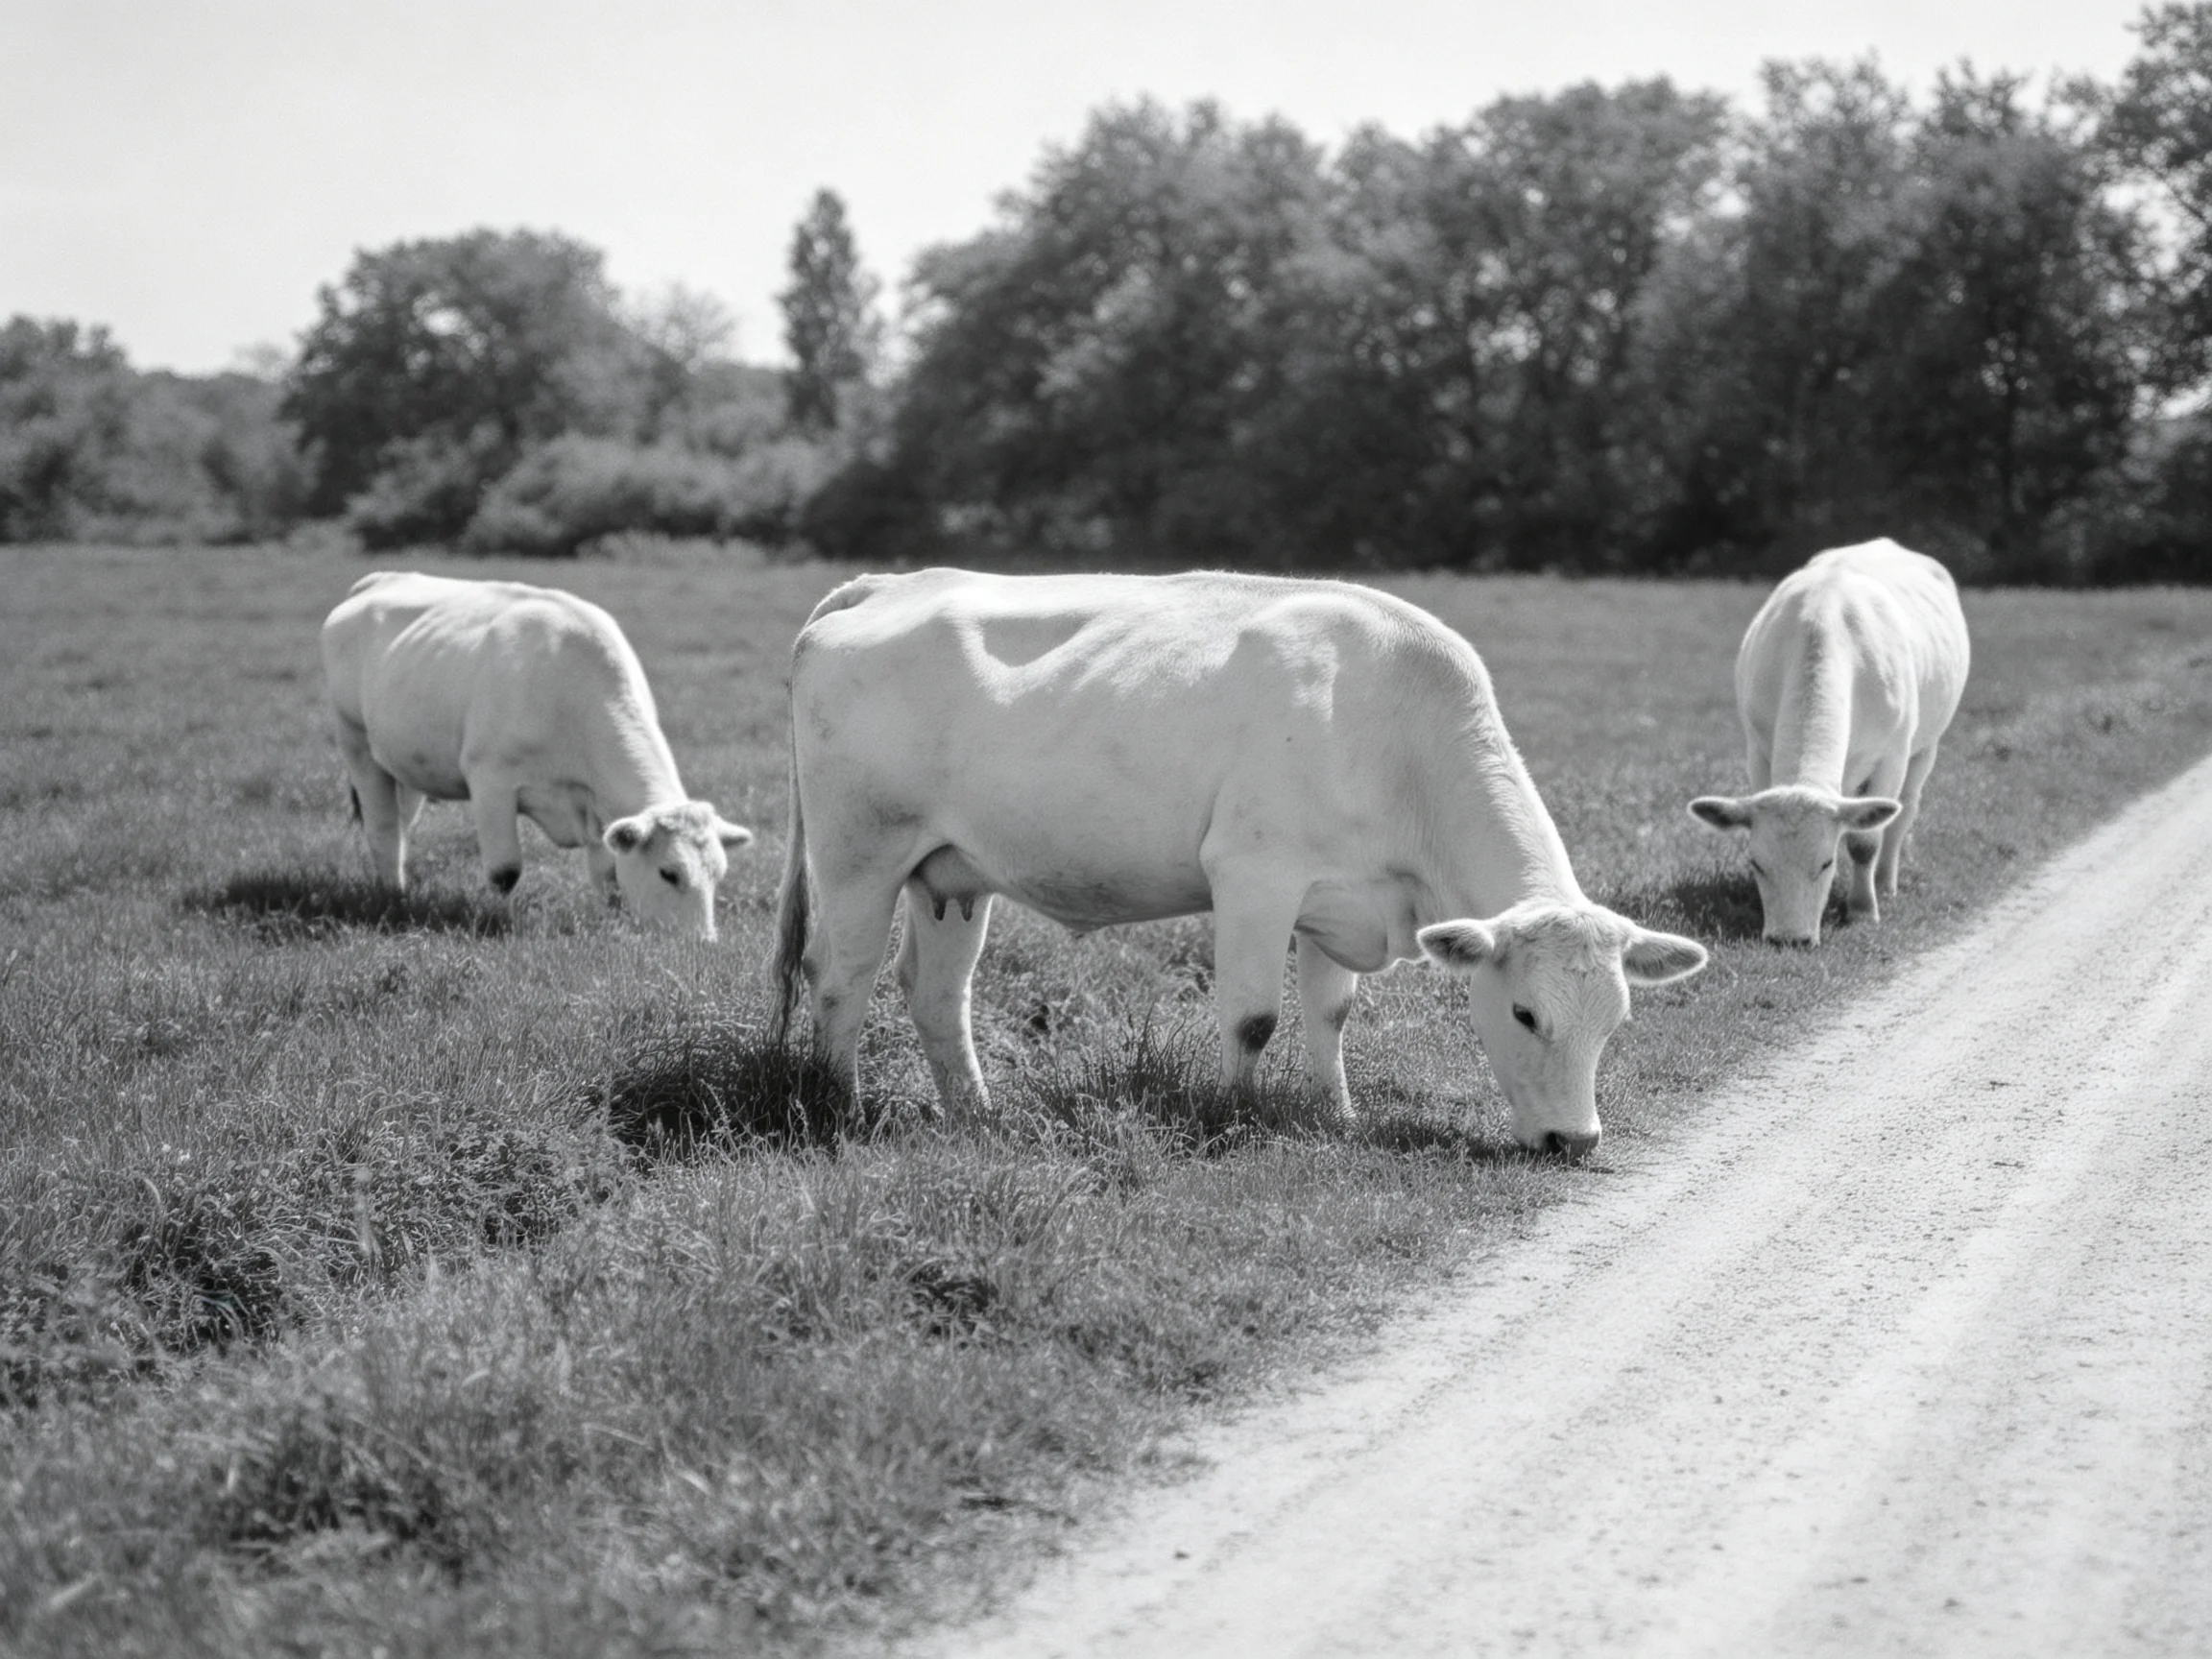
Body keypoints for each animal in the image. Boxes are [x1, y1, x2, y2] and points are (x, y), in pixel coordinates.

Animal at [320, 572, 752, 938]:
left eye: (718, 874)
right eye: (669, 873)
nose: (702, 941)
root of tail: (377, 581)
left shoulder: (595, 807)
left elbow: (608, 874)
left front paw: (613, 921)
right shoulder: (490, 784)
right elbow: (504, 871)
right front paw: (497, 919)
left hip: (403, 763)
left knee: (400, 825)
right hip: (356, 744)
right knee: (382, 829)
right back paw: (393, 897)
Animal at [771, 569, 1708, 1157]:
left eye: (1617, 1022)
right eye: (1523, 1015)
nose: (1573, 1142)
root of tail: (894, 583)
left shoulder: (1340, 899)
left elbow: (1331, 1016)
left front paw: (1337, 1116)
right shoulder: (1255, 875)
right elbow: (1254, 1018)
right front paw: (1231, 1116)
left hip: (951, 873)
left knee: (935, 992)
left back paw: (975, 1117)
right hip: (858, 853)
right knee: (839, 976)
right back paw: (839, 1108)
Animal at [1689, 539, 1971, 945]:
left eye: (1826, 863)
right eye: (1756, 863)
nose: (1789, 939)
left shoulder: (1892, 754)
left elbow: (1865, 842)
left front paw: (1863, 909)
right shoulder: (1757, 749)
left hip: (1926, 746)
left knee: (1904, 811)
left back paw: (1886, 883)